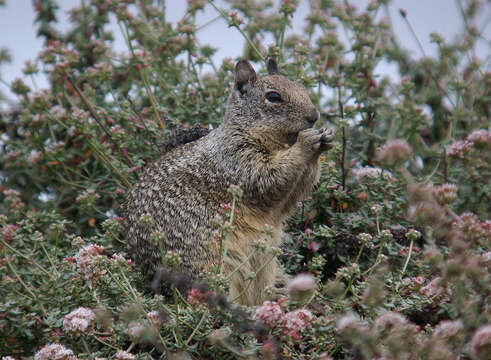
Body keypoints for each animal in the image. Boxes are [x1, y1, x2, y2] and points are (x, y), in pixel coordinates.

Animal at [124, 58, 334, 304]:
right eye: (273, 97)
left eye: (301, 88)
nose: (314, 116)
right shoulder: (239, 158)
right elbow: (269, 177)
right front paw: (306, 141)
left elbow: (295, 191)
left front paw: (326, 140)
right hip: (214, 266)